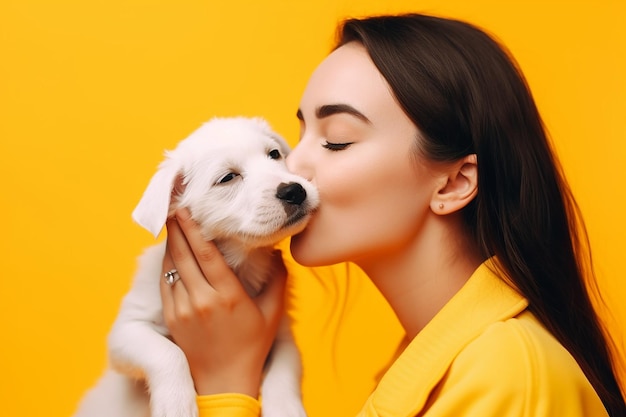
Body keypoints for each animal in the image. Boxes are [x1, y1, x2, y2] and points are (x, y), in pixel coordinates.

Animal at [73, 117, 316, 416]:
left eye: (274, 154)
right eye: (228, 178)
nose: (295, 190)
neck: (241, 263)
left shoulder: (280, 334)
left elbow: (284, 372)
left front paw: (286, 408)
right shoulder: (126, 330)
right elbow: (167, 352)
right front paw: (176, 403)